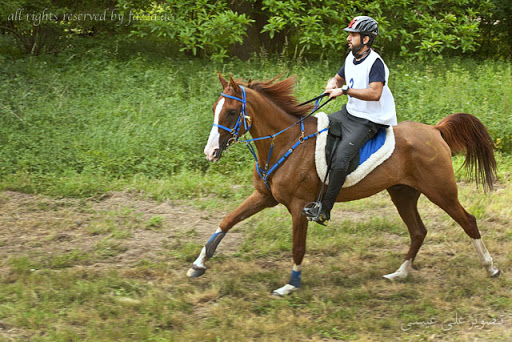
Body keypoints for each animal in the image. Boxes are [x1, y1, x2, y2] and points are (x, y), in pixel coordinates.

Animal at [188, 73, 500, 296]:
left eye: (231, 112)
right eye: (215, 108)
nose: (210, 152)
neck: (284, 141)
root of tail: (435, 130)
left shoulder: (299, 206)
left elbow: (298, 247)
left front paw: (291, 284)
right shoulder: (264, 196)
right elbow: (227, 221)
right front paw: (198, 264)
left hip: (441, 191)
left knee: (468, 221)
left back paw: (490, 268)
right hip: (403, 193)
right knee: (418, 231)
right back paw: (400, 273)